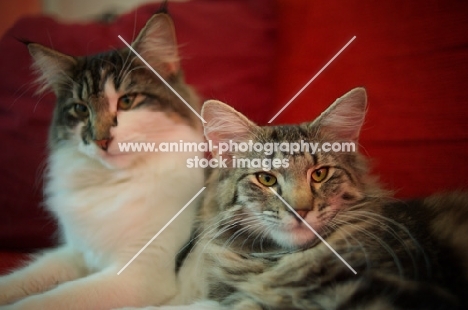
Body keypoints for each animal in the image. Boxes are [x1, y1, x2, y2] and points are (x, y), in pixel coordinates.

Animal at [0, 13, 205, 308]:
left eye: (127, 101)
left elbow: (54, 297)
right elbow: (23, 278)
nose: (101, 140)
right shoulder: (77, 251)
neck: (114, 183)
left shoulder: (140, 274)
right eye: (81, 109)